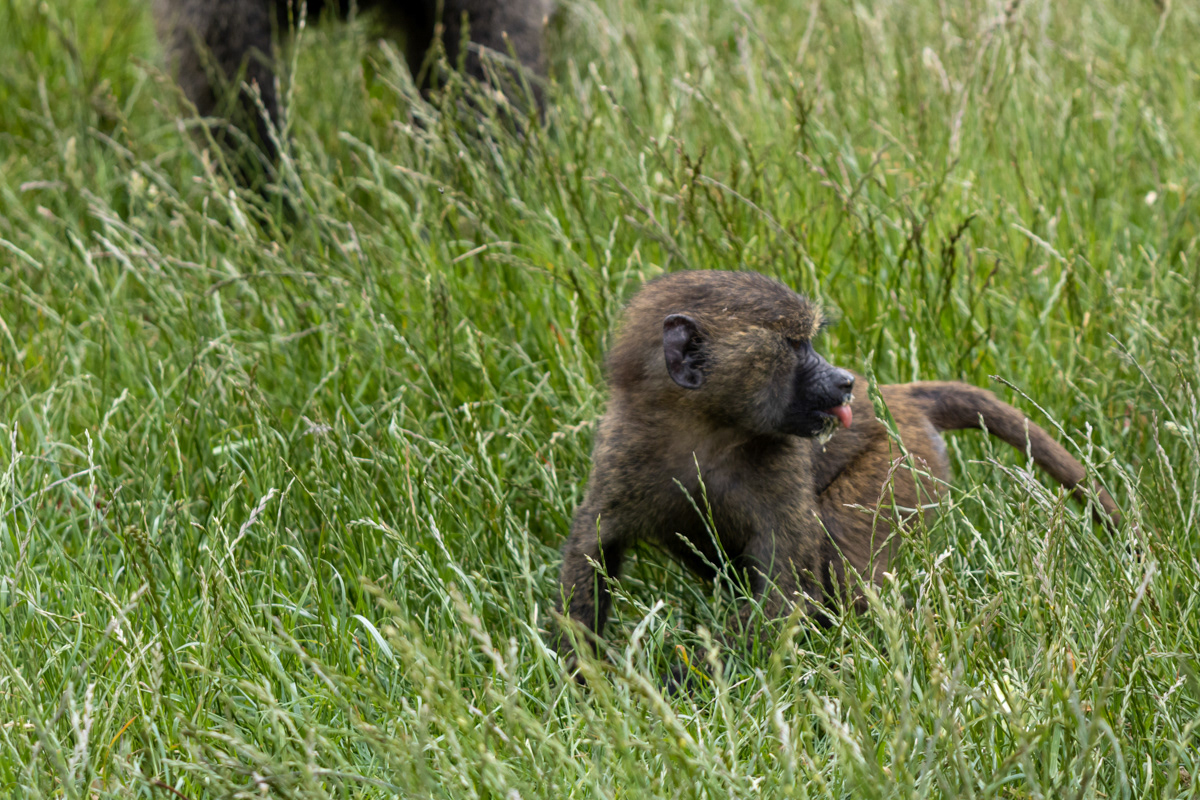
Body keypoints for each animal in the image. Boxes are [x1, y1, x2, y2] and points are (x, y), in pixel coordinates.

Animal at [555, 269, 1122, 663]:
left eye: (808, 340)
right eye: (794, 344)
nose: (845, 381)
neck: (704, 428)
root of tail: (900, 397)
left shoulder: (780, 465)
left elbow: (788, 583)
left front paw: (680, 684)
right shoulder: (626, 447)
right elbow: (594, 543)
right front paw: (583, 677)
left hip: (899, 463)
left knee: (843, 555)